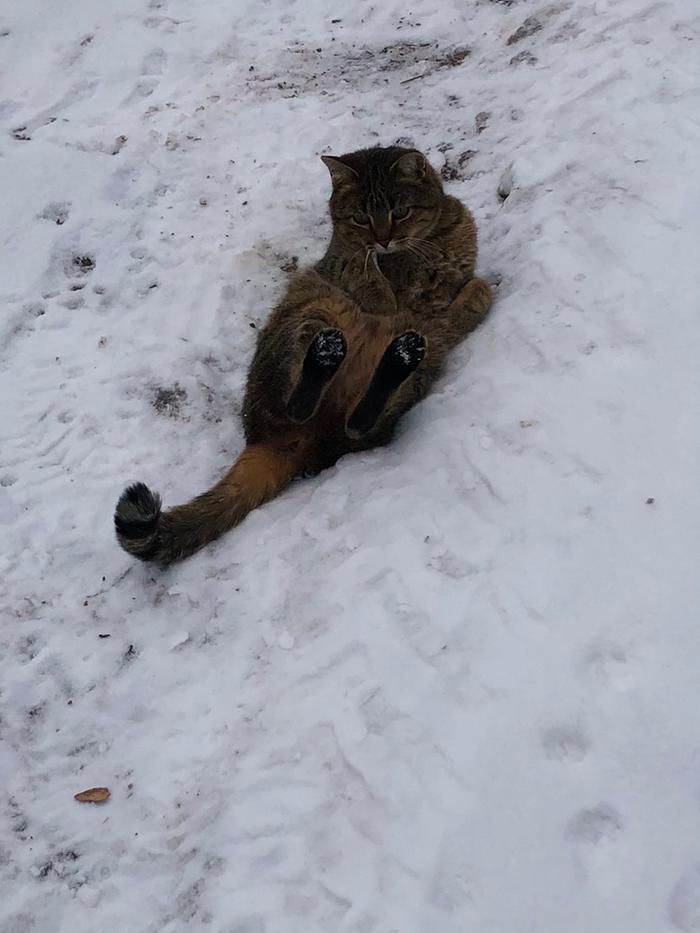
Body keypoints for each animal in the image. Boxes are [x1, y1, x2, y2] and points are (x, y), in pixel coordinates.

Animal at [115, 146, 492, 564]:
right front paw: (382, 290)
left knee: (360, 422)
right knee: (302, 400)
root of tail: (271, 442)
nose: (383, 240)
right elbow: (360, 267)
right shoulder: (344, 265)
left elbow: (474, 289)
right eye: (360, 218)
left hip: (415, 370)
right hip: (310, 314)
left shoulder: (446, 299)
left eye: (401, 212)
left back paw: (399, 355)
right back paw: (332, 357)